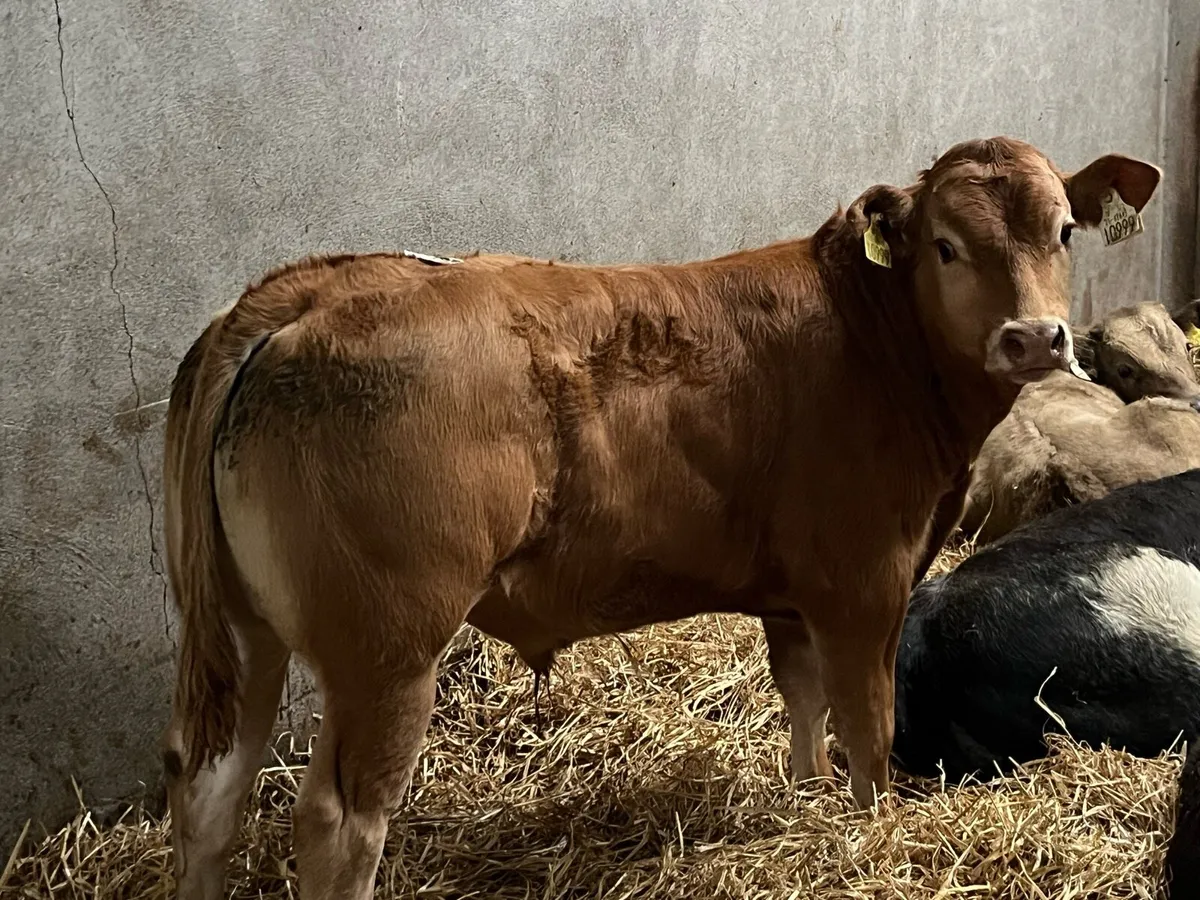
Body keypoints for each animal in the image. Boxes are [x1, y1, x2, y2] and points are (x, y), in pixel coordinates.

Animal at [160, 137, 1159, 900]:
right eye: (946, 246)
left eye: (1063, 231)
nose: (1033, 337)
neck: (877, 346)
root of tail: (311, 288)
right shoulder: (864, 580)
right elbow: (866, 731)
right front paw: (866, 833)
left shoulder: (793, 594)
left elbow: (803, 708)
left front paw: (803, 808)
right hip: (388, 646)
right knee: (339, 822)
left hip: (249, 630)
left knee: (209, 785)